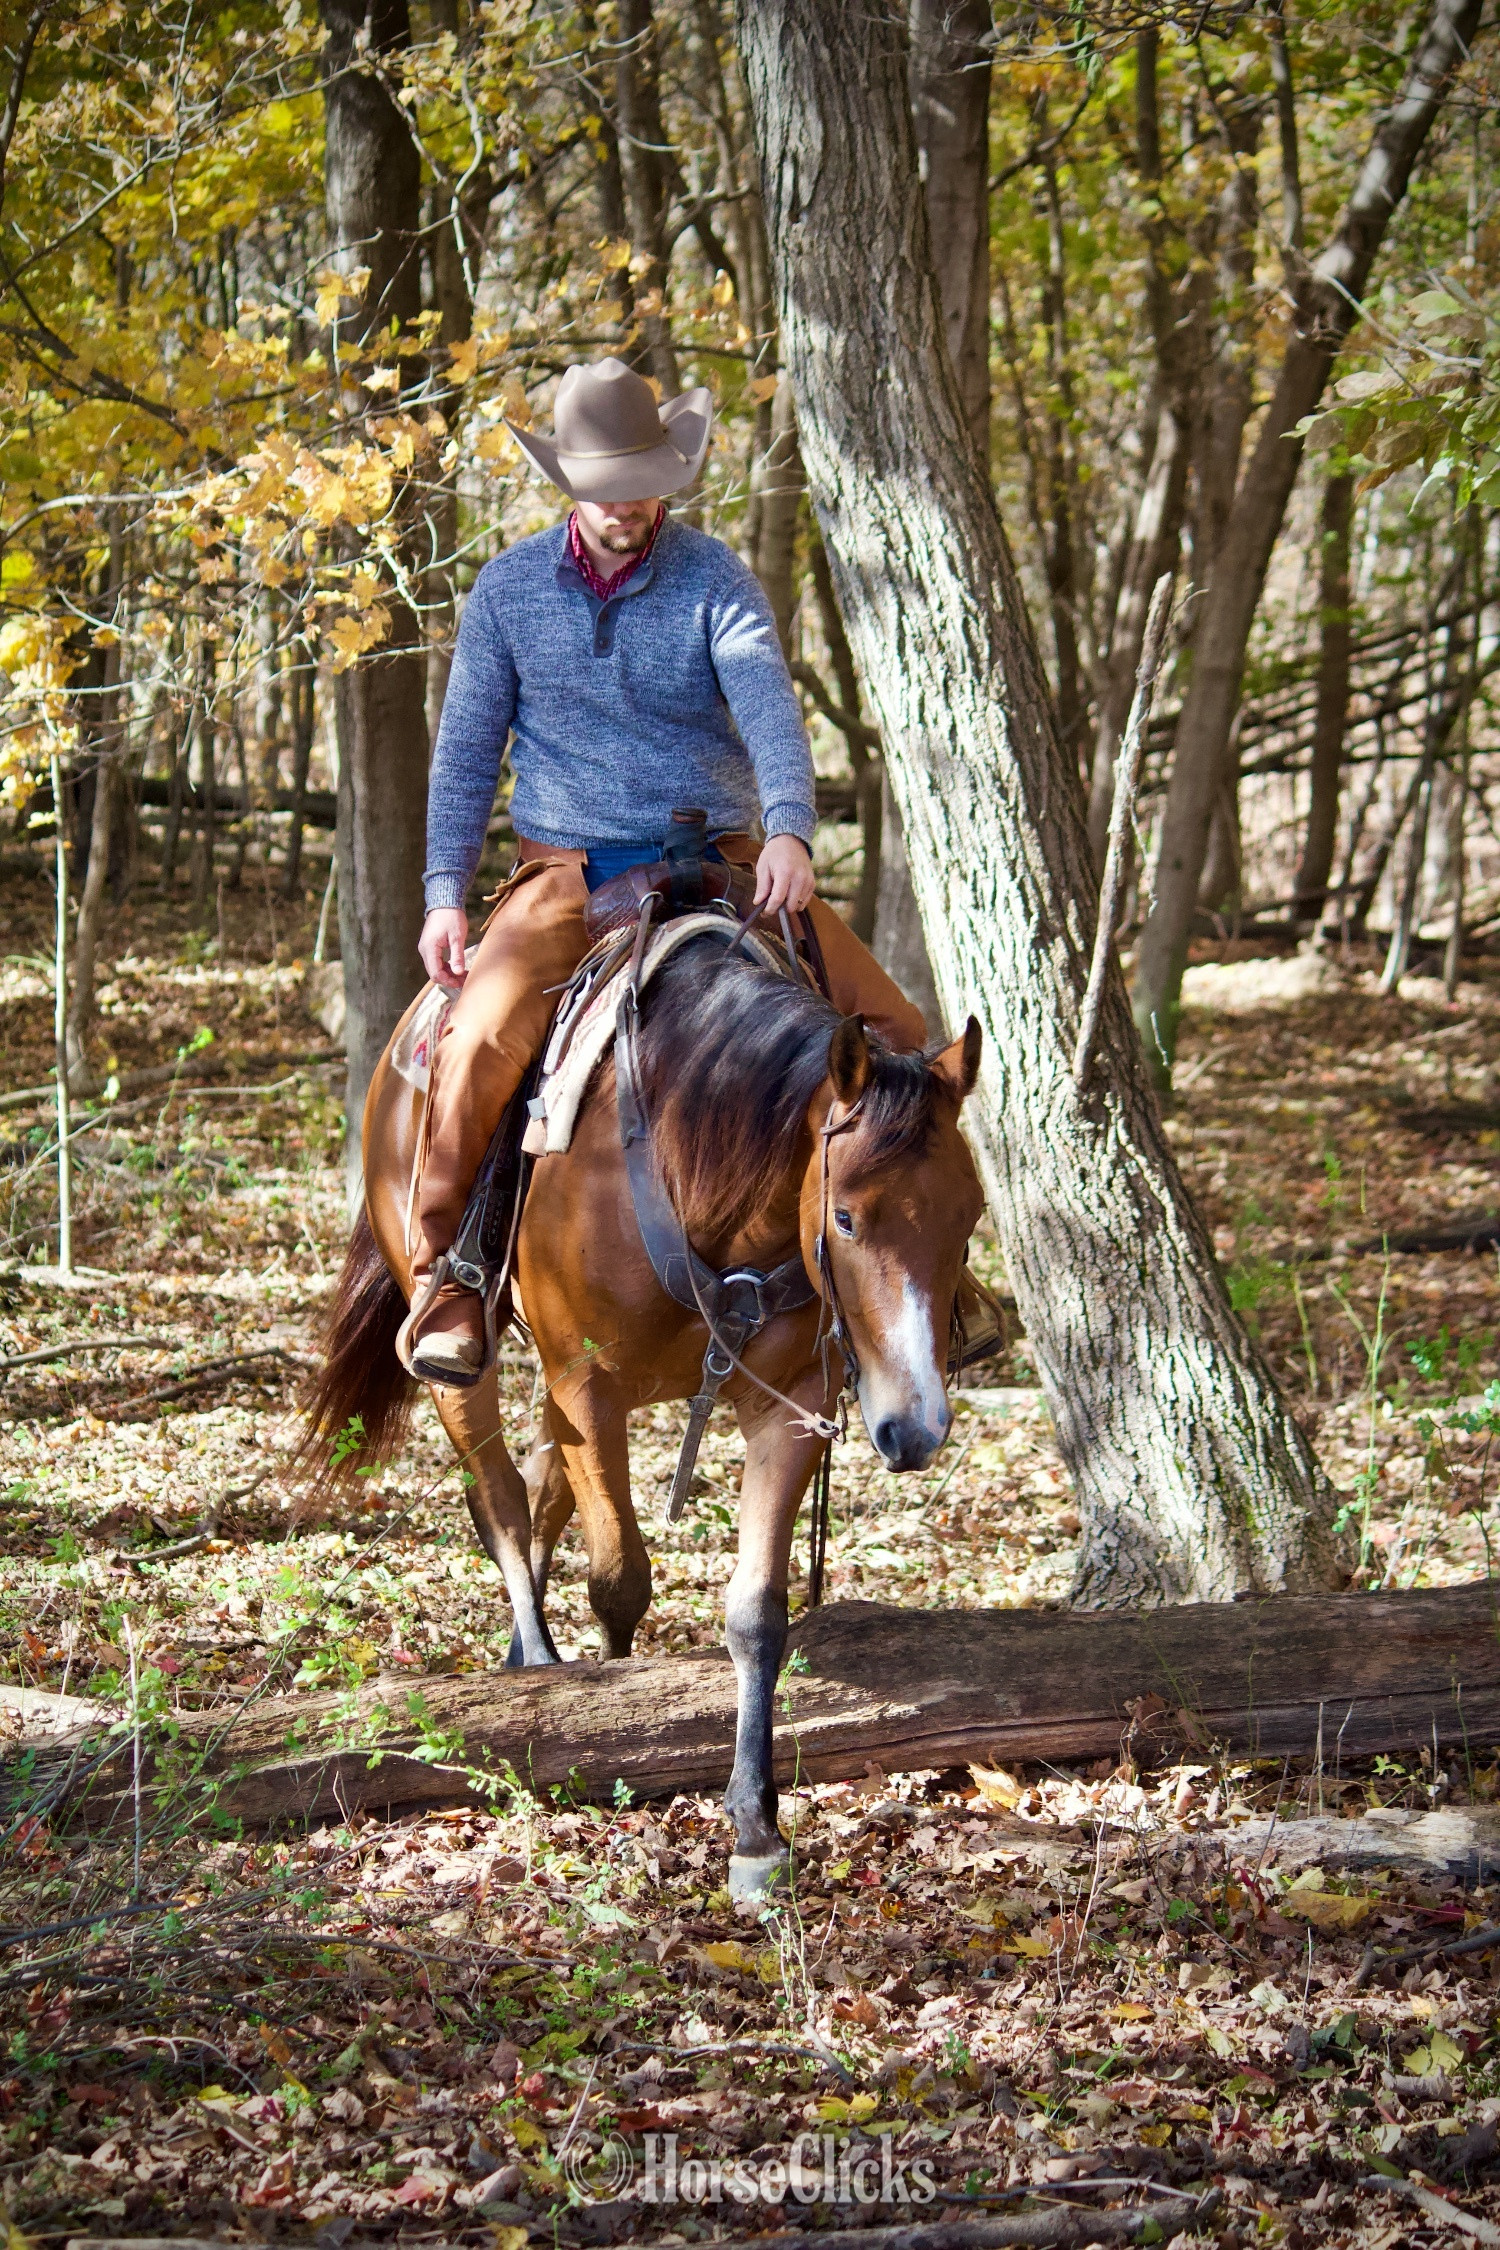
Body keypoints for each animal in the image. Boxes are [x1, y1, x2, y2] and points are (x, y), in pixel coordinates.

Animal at [301, 926, 985, 1895]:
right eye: (848, 1218)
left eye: (969, 1217)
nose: (917, 1426)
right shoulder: (591, 1390)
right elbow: (620, 1578)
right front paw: (612, 1722)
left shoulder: (790, 1411)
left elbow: (756, 1613)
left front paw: (756, 1829)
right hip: (459, 1357)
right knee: (500, 1496)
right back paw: (537, 1658)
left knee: (545, 1487)